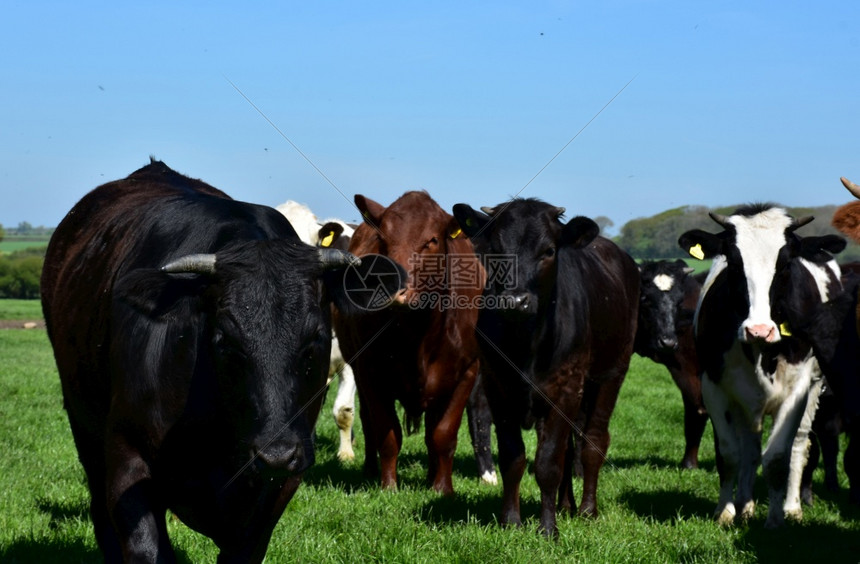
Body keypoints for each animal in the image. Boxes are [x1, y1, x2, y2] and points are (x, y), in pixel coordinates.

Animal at [39, 160, 390, 564]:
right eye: (225, 341)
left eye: (314, 338)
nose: (276, 452)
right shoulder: (127, 457)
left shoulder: (279, 483)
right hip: (83, 422)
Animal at [332, 192, 484, 496]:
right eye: (383, 239)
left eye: (432, 240)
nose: (393, 286)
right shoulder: (370, 372)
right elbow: (387, 432)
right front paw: (388, 486)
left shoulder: (467, 372)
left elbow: (443, 435)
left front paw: (442, 489)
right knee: (367, 421)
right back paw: (370, 470)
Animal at [456, 199, 640, 536]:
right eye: (496, 249)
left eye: (549, 251)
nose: (515, 300)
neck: (526, 344)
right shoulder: (497, 386)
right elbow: (513, 458)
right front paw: (511, 521)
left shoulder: (565, 389)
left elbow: (548, 463)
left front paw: (548, 529)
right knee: (569, 447)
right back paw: (565, 504)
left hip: (611, 375)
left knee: (593, 443)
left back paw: (587, 509)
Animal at [680, 206, 848, 528]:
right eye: (733, 262)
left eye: (785, 264)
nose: (759, 330)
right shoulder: (714, 385)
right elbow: (730, 453)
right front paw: (726, 512)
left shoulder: (798, 389)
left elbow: (779, 457)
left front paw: (775, 520)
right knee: (750, 448)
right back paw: (746, 505)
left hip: (813, 389)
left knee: (799, 445)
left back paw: (792, 507)